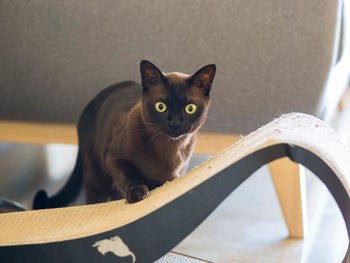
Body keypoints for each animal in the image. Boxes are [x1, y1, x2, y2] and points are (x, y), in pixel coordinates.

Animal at [34, 60, 216, 209]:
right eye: (161, 106)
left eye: (190, 108)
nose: (175, 123)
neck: (170, 149)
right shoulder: (113, 159)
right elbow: (130, 175)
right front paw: (138, 193)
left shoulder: (173, 178)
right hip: (96, 177)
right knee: (94, 198)